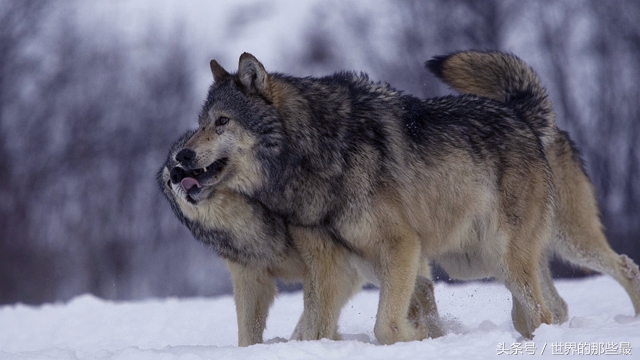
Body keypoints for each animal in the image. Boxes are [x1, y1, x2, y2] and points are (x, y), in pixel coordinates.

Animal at [178, 51, 564, 344]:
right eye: (200, 123)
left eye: (222, 121)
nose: (181, 155)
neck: (317, 150)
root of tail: (519, 116)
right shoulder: (328, 260)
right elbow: (317, 325)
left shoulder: (401, 245)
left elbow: (385, 327)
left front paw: (415, 338)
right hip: (477, 262)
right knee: (542, 311)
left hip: (497, 258)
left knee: (541, 313)